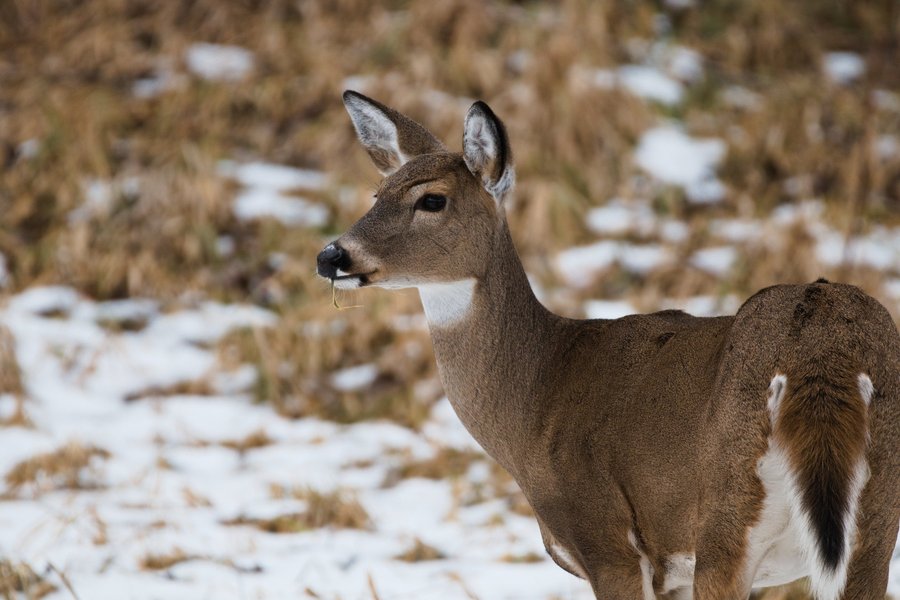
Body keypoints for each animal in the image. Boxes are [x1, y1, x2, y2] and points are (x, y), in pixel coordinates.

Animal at [316, 90, 900, 600]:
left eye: (432, 199)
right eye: (376, 195)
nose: (331, 255)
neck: (536, 402)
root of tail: (822, 354)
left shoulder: (608, 540)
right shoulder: (670, 574)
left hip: (727, 515)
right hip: (873, 527)